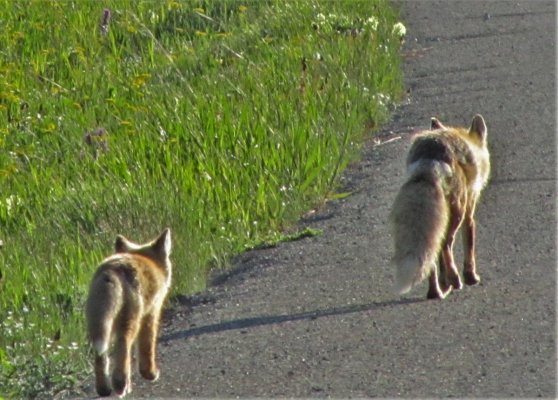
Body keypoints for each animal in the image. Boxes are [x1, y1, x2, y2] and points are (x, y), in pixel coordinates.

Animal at [85, 228, 172, 396]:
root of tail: (111, 270)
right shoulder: (151, 313)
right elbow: (147, 347)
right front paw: (150, 374)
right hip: (130, 321)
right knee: (123, 346)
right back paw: (121, 384)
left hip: (97, 326)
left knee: (100, 357)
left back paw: (104, 389)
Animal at [392, 114, 492, 298]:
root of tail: (432, 153)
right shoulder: (469, 213)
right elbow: (469, 246)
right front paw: (470, 277)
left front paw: (445, 283)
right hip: (457, 211)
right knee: (446, 243)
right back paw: (455, 279)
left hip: (439, 217)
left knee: (433, 253)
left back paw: (435, 291)